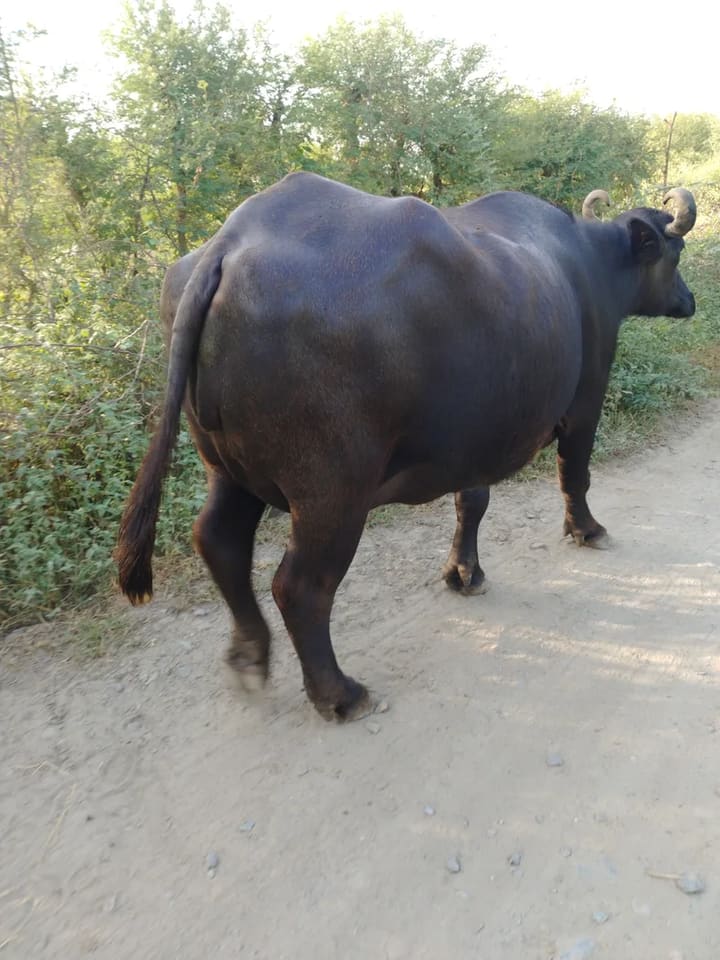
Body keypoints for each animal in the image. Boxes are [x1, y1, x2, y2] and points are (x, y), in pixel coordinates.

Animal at [117, 173, 697, 720]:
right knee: (300, 586)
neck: (588, 265)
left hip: (225, 467)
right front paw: (588, 530)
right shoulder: (584, 402)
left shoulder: (477, 435)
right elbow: (574, 474)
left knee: (220, 542)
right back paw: (339, 693)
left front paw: (464, 574)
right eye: (675, 253)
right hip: (332, 492)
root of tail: (228, 246)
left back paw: (249, 655)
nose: (689, 301)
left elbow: (472, 503)